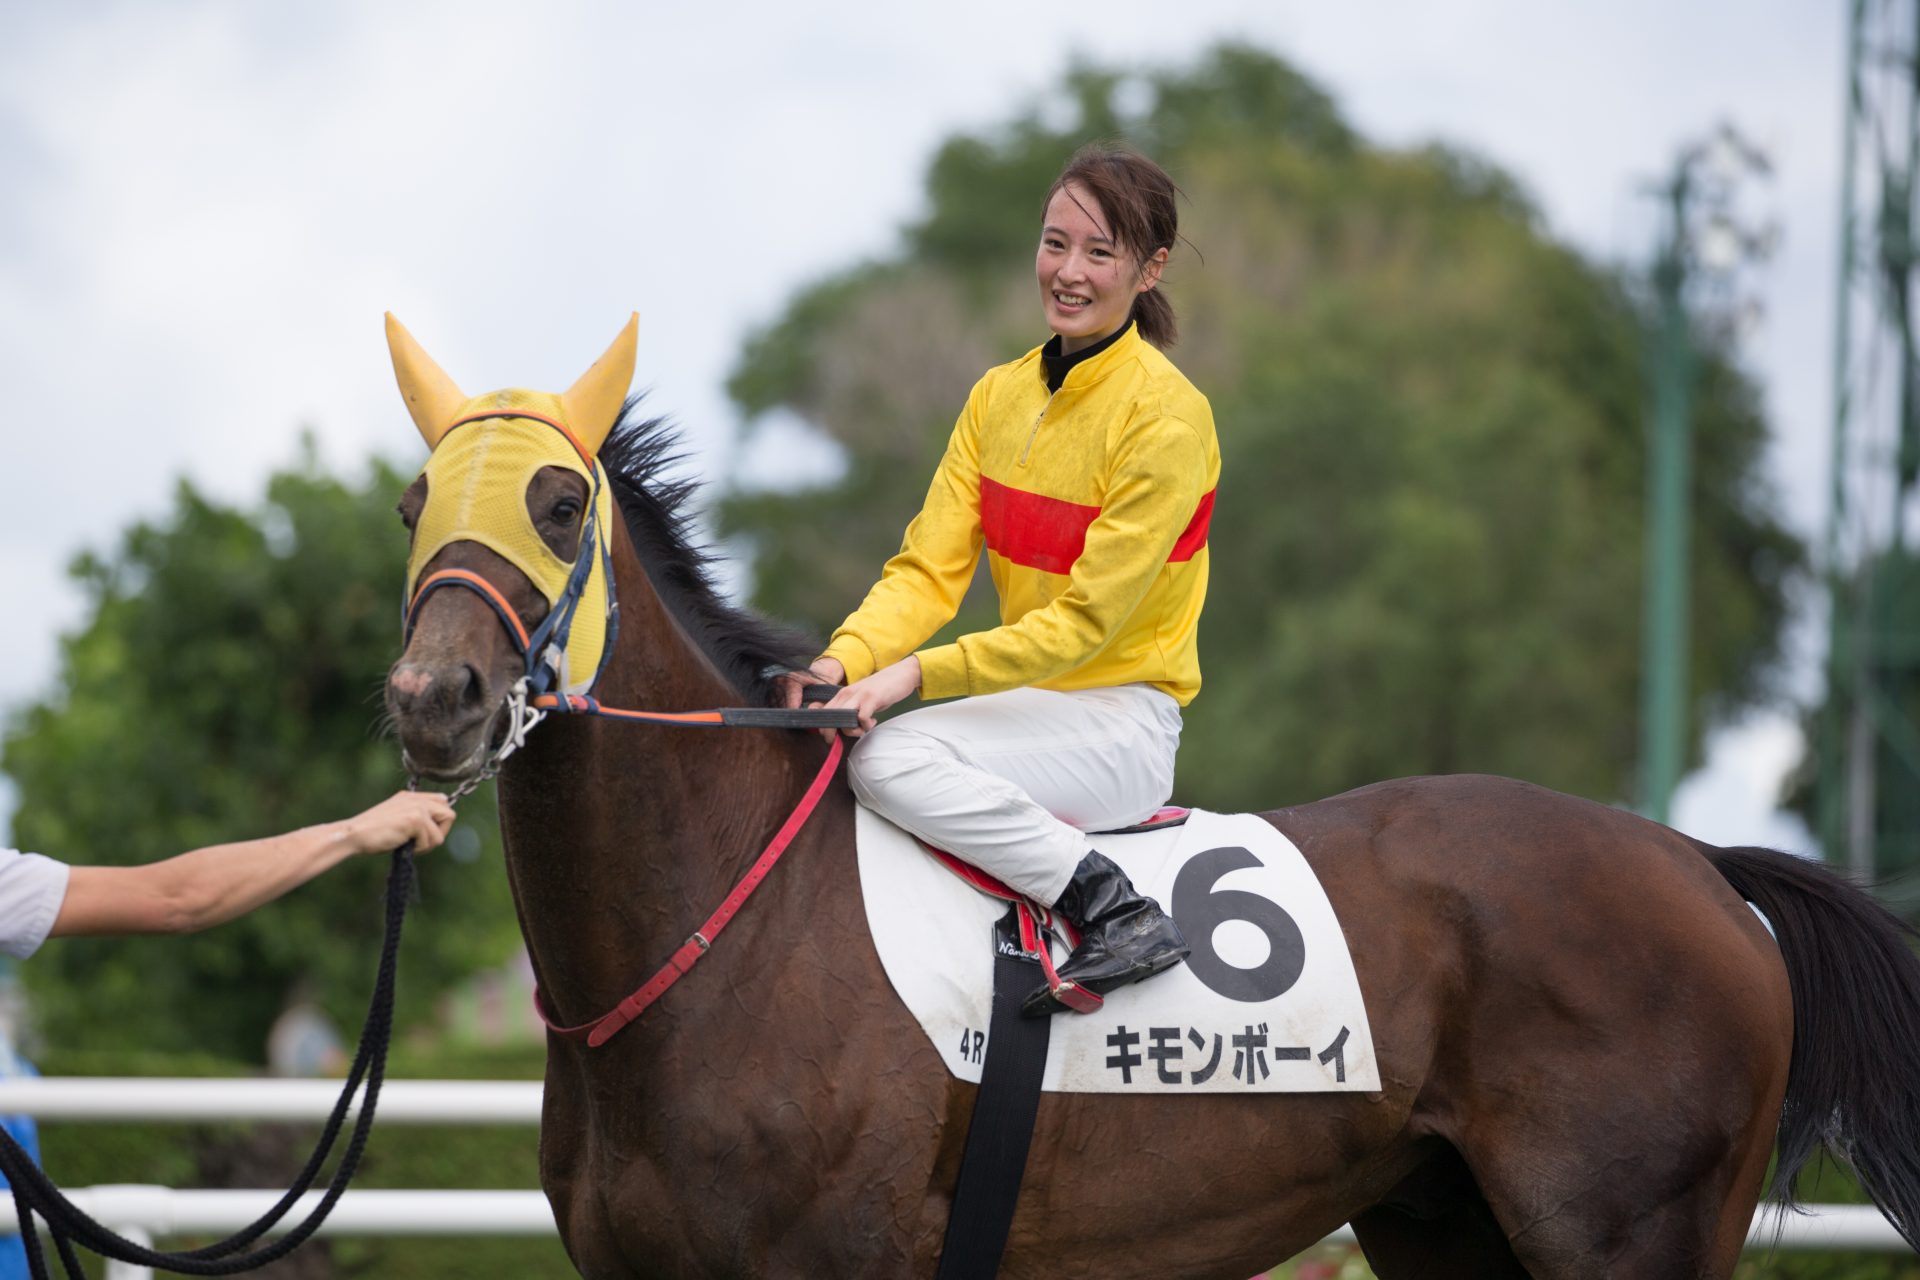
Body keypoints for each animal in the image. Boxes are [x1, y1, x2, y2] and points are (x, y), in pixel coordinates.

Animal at [385, 395, 1920, 1274]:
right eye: (414, 507)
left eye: (559, 505)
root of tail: (1698, 864)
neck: (718, 933)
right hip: (1447, 1226)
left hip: (1629, 1234)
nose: (430, 697)